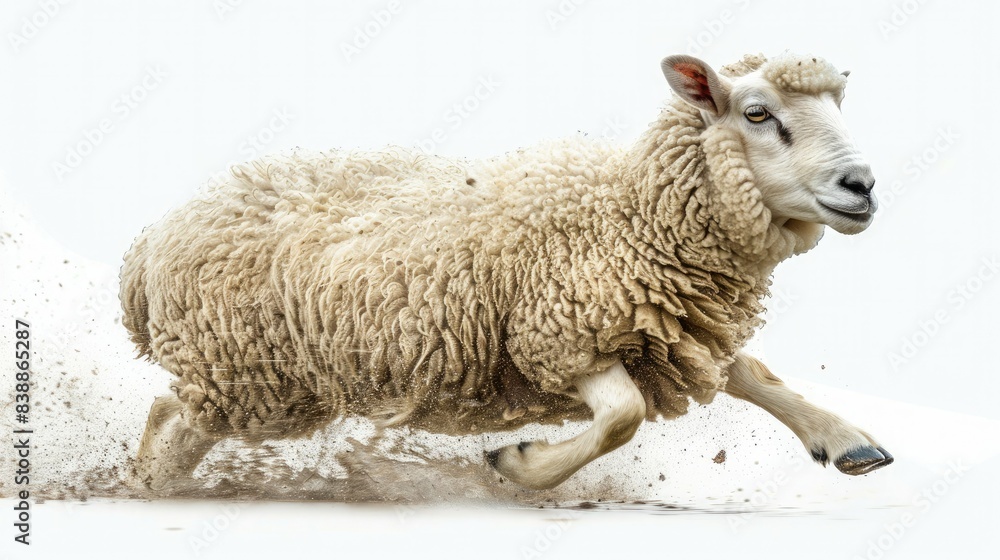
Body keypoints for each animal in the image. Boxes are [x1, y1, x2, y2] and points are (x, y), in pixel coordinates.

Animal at [121, 52, 893, 492]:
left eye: (837, 106)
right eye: (758, 114)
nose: (862, 186)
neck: (632, 212)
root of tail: (148, 246)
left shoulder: (665, 327)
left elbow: (753, 374)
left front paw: (843, 439)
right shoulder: (559, 334)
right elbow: (622, 419)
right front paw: (520, 466)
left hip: (263, 376)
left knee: (171, 418)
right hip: (251, 375)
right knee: (172, 424)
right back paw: (144, 489)